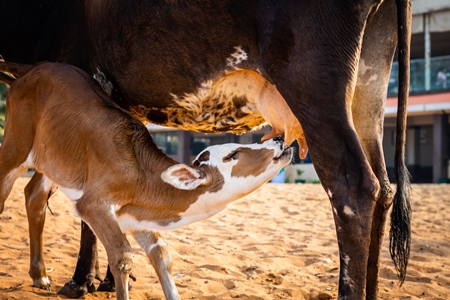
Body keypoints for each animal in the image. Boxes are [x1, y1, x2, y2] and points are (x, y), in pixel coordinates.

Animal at [0, 61, 294, 300]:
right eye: (233, 154)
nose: (280, 141)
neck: (140, 172)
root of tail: (30, 68)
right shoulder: (92, 205)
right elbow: (122, 256)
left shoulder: (136, 217)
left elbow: (161, 255)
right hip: (15, 146)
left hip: (52, 163)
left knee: (34, 196)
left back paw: (40, 275)